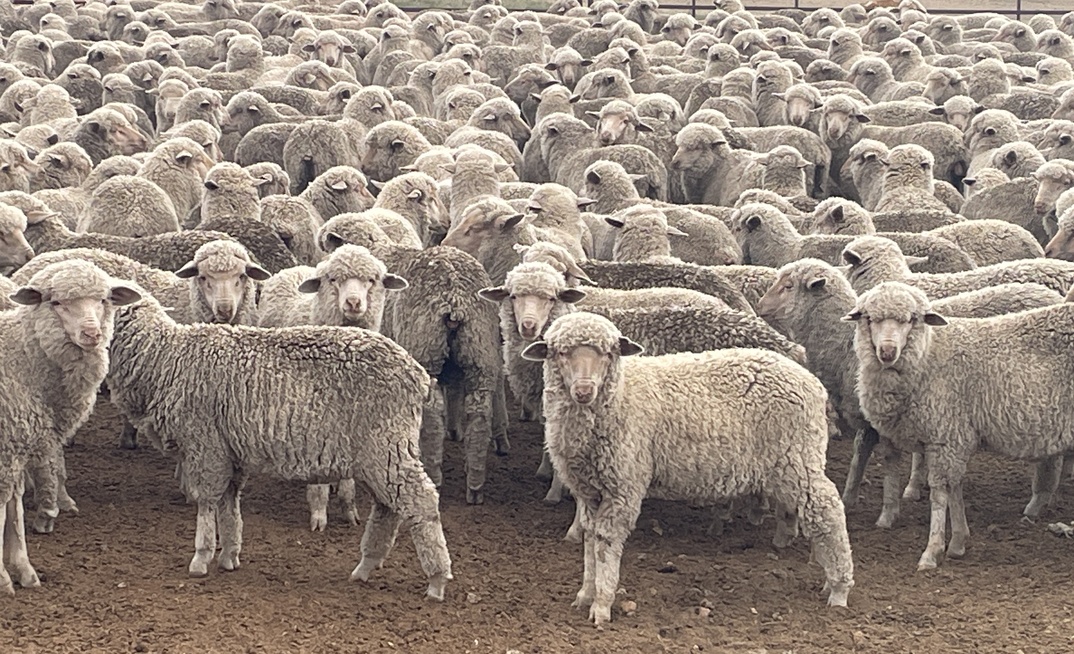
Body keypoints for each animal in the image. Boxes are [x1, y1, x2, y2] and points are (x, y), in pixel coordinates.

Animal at [0, 259, 141, 586]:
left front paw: (23, 569)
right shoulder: (7, 445)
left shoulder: (17, 441)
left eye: (103, 300)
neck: (21, 358)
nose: (91, 334)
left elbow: (14, 506)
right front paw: (4, 578)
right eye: (56, 303)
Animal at [104, 290, 452, 599]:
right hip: (380, 454)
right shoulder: (229, 450)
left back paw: (436, 580)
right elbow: (228, 504)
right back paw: (366, 566)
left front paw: (201, 557)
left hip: (387, 444)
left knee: (421, 502)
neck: (166, 358)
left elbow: (207, 503)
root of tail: (418, 375)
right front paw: (229, 555)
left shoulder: (206, 444)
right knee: (388, 507)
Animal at [520, 312, 854, 623]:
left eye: (608, 353)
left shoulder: (623, 486)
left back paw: (839, 588)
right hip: (790, 463)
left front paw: (602, 604)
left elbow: (606, 543)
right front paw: (585, 594)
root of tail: (811, 381)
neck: (620, 397)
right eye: (561, 352)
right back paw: (826, 577)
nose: (584, 391)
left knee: (828, 510)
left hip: (797, 456)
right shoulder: (590, 491)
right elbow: (590, 540)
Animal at [845, 281, 1074, 570]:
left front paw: (931, 552)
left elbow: (940, 492)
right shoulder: (952, 438)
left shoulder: (946, 434)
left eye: (911, 319)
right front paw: (958, 542)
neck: (929, 356)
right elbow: (955, 487)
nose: (887, 352)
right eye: (869, 318)